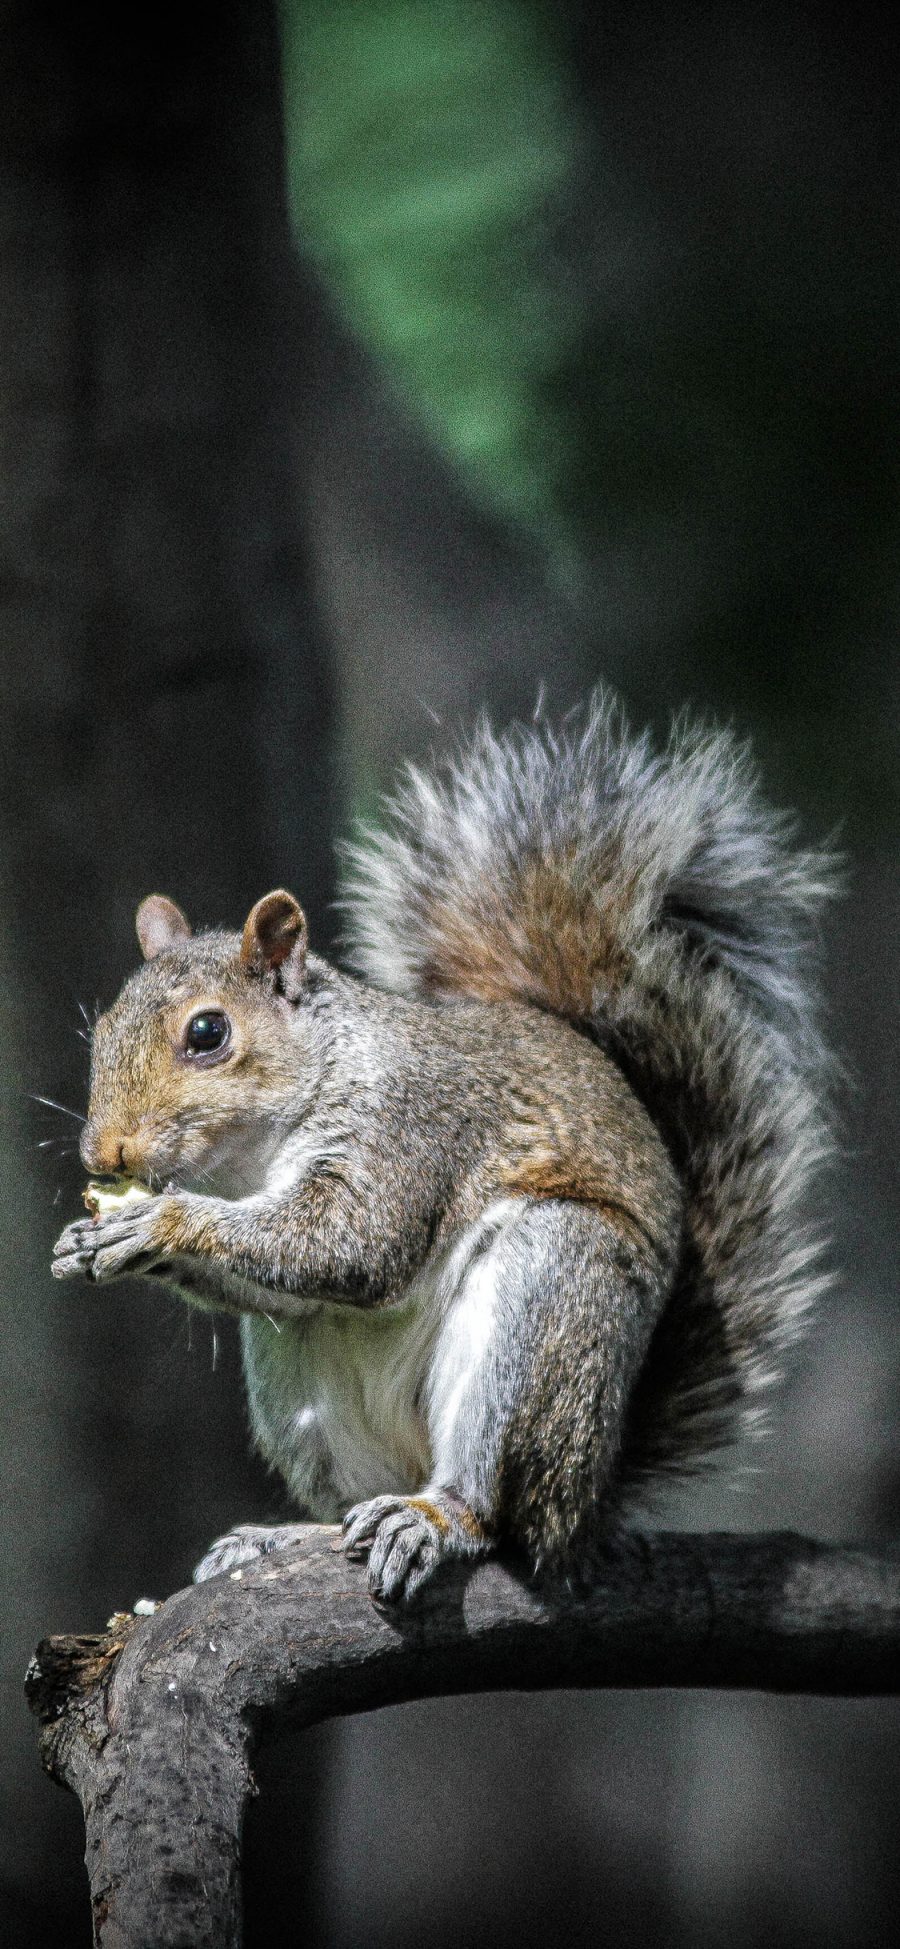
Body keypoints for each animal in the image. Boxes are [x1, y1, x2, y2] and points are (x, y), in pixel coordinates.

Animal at [50, 701, 837, 1598]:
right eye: (105, 1024)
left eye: (208, 1032)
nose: (104, 1154)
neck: (252, 1158)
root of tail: (589, 1504)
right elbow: (287, 1283)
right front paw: (88, 1240)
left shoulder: (409, 1128)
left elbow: (355, 1244)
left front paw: (159, 1221)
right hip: (296, 1384)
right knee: (343, 1486)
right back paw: (284, 1538)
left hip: (549, 1305)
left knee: (497, 1506)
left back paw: (437, 1515)